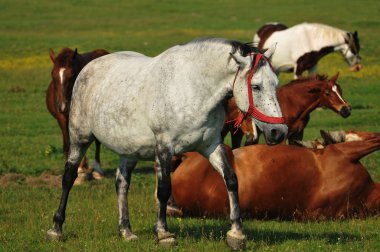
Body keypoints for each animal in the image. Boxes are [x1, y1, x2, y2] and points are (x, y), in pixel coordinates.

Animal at [46, 47, 109, 183]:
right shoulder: (62, 118)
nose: (62, 106)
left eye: (72, 75)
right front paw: (77, 170)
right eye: (53, 74)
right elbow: (68, 144)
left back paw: (97, 170)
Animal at [224, 72, 352, 148]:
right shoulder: (280, 138)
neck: (292, 104)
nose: (346, 110)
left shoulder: (297, 135)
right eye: (327, 93)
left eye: (340, 90)